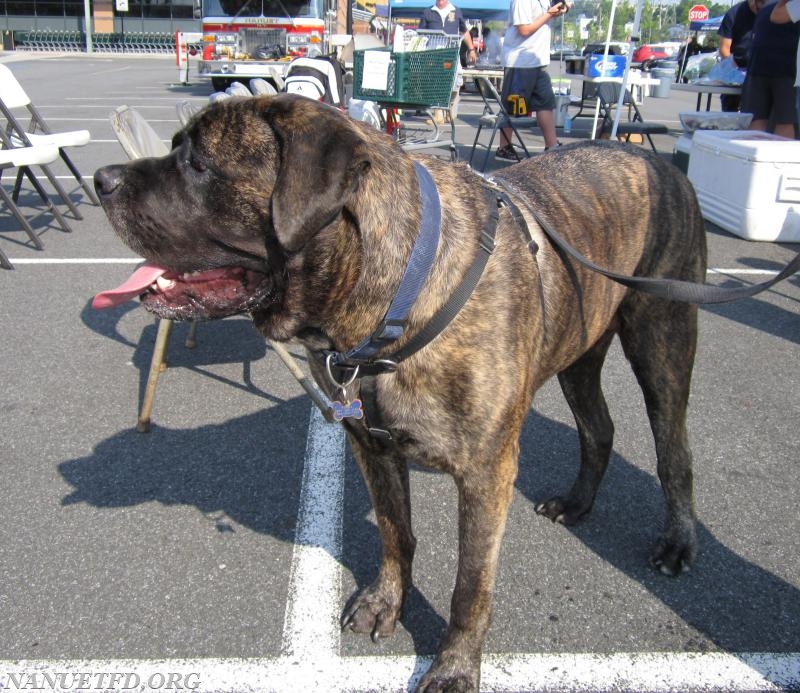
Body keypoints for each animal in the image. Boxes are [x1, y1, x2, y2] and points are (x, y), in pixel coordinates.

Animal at [95, 93, 708, 692]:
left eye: (198, 164)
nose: (102, 178)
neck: (390, 299)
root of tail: (656, 159)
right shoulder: (373, 447)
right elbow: (396, 532)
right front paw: (387, 601)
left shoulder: (487, 474)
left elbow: (470, 584)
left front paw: (455, 667)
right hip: (580, 352)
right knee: (598, 429)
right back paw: (578, 503)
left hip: (662, 341)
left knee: (674, 453)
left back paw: (678, 542)